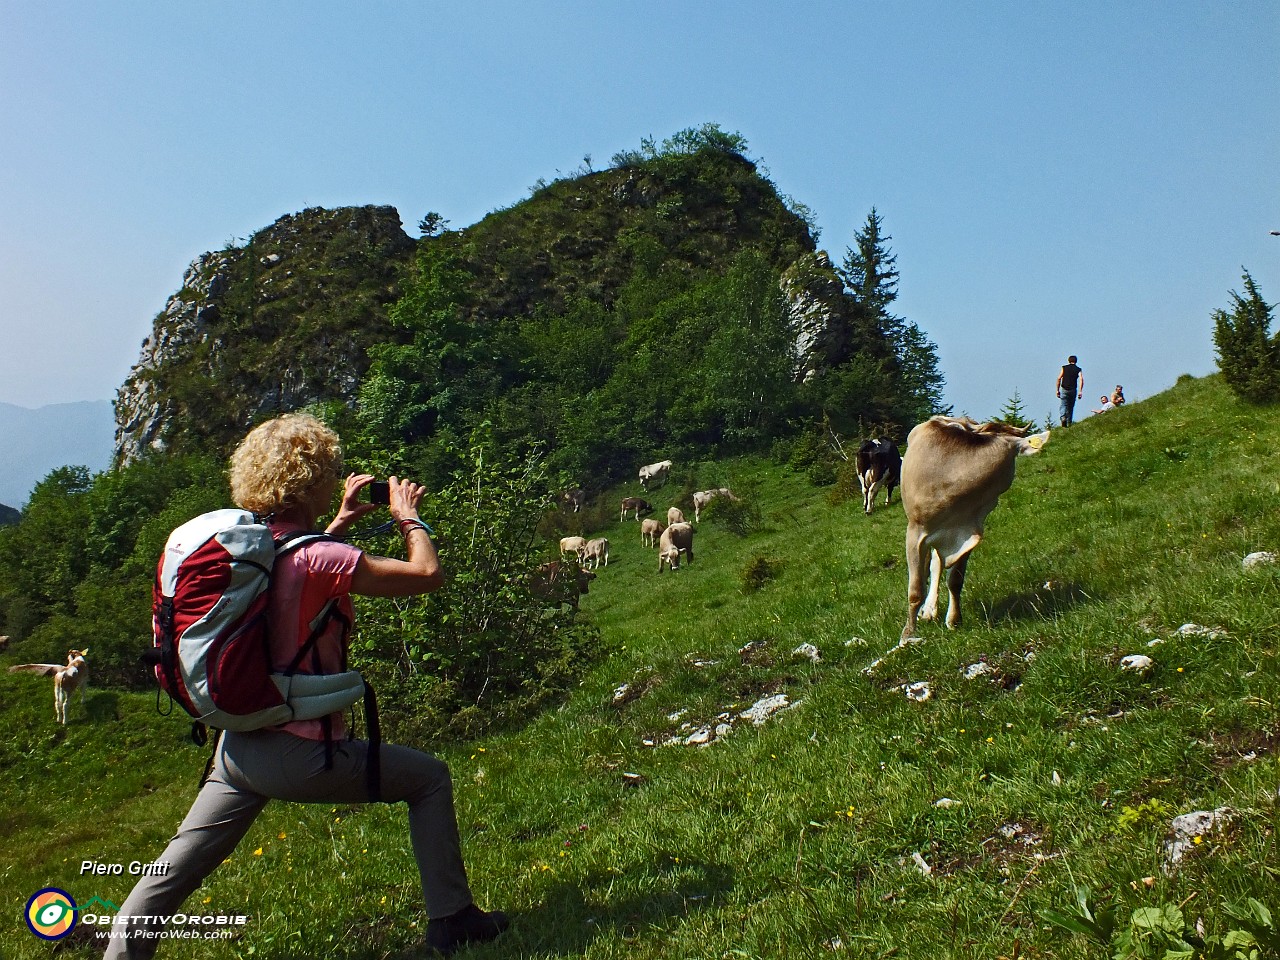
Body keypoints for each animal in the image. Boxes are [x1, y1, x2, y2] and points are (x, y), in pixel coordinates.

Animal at [901, 417, 1049, 642]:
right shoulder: (915, 533)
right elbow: (915, 590)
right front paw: (908, 635)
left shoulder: (968, 534)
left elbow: (955, 580)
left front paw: (954, 621)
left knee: (936, 563)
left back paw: (930, 610)